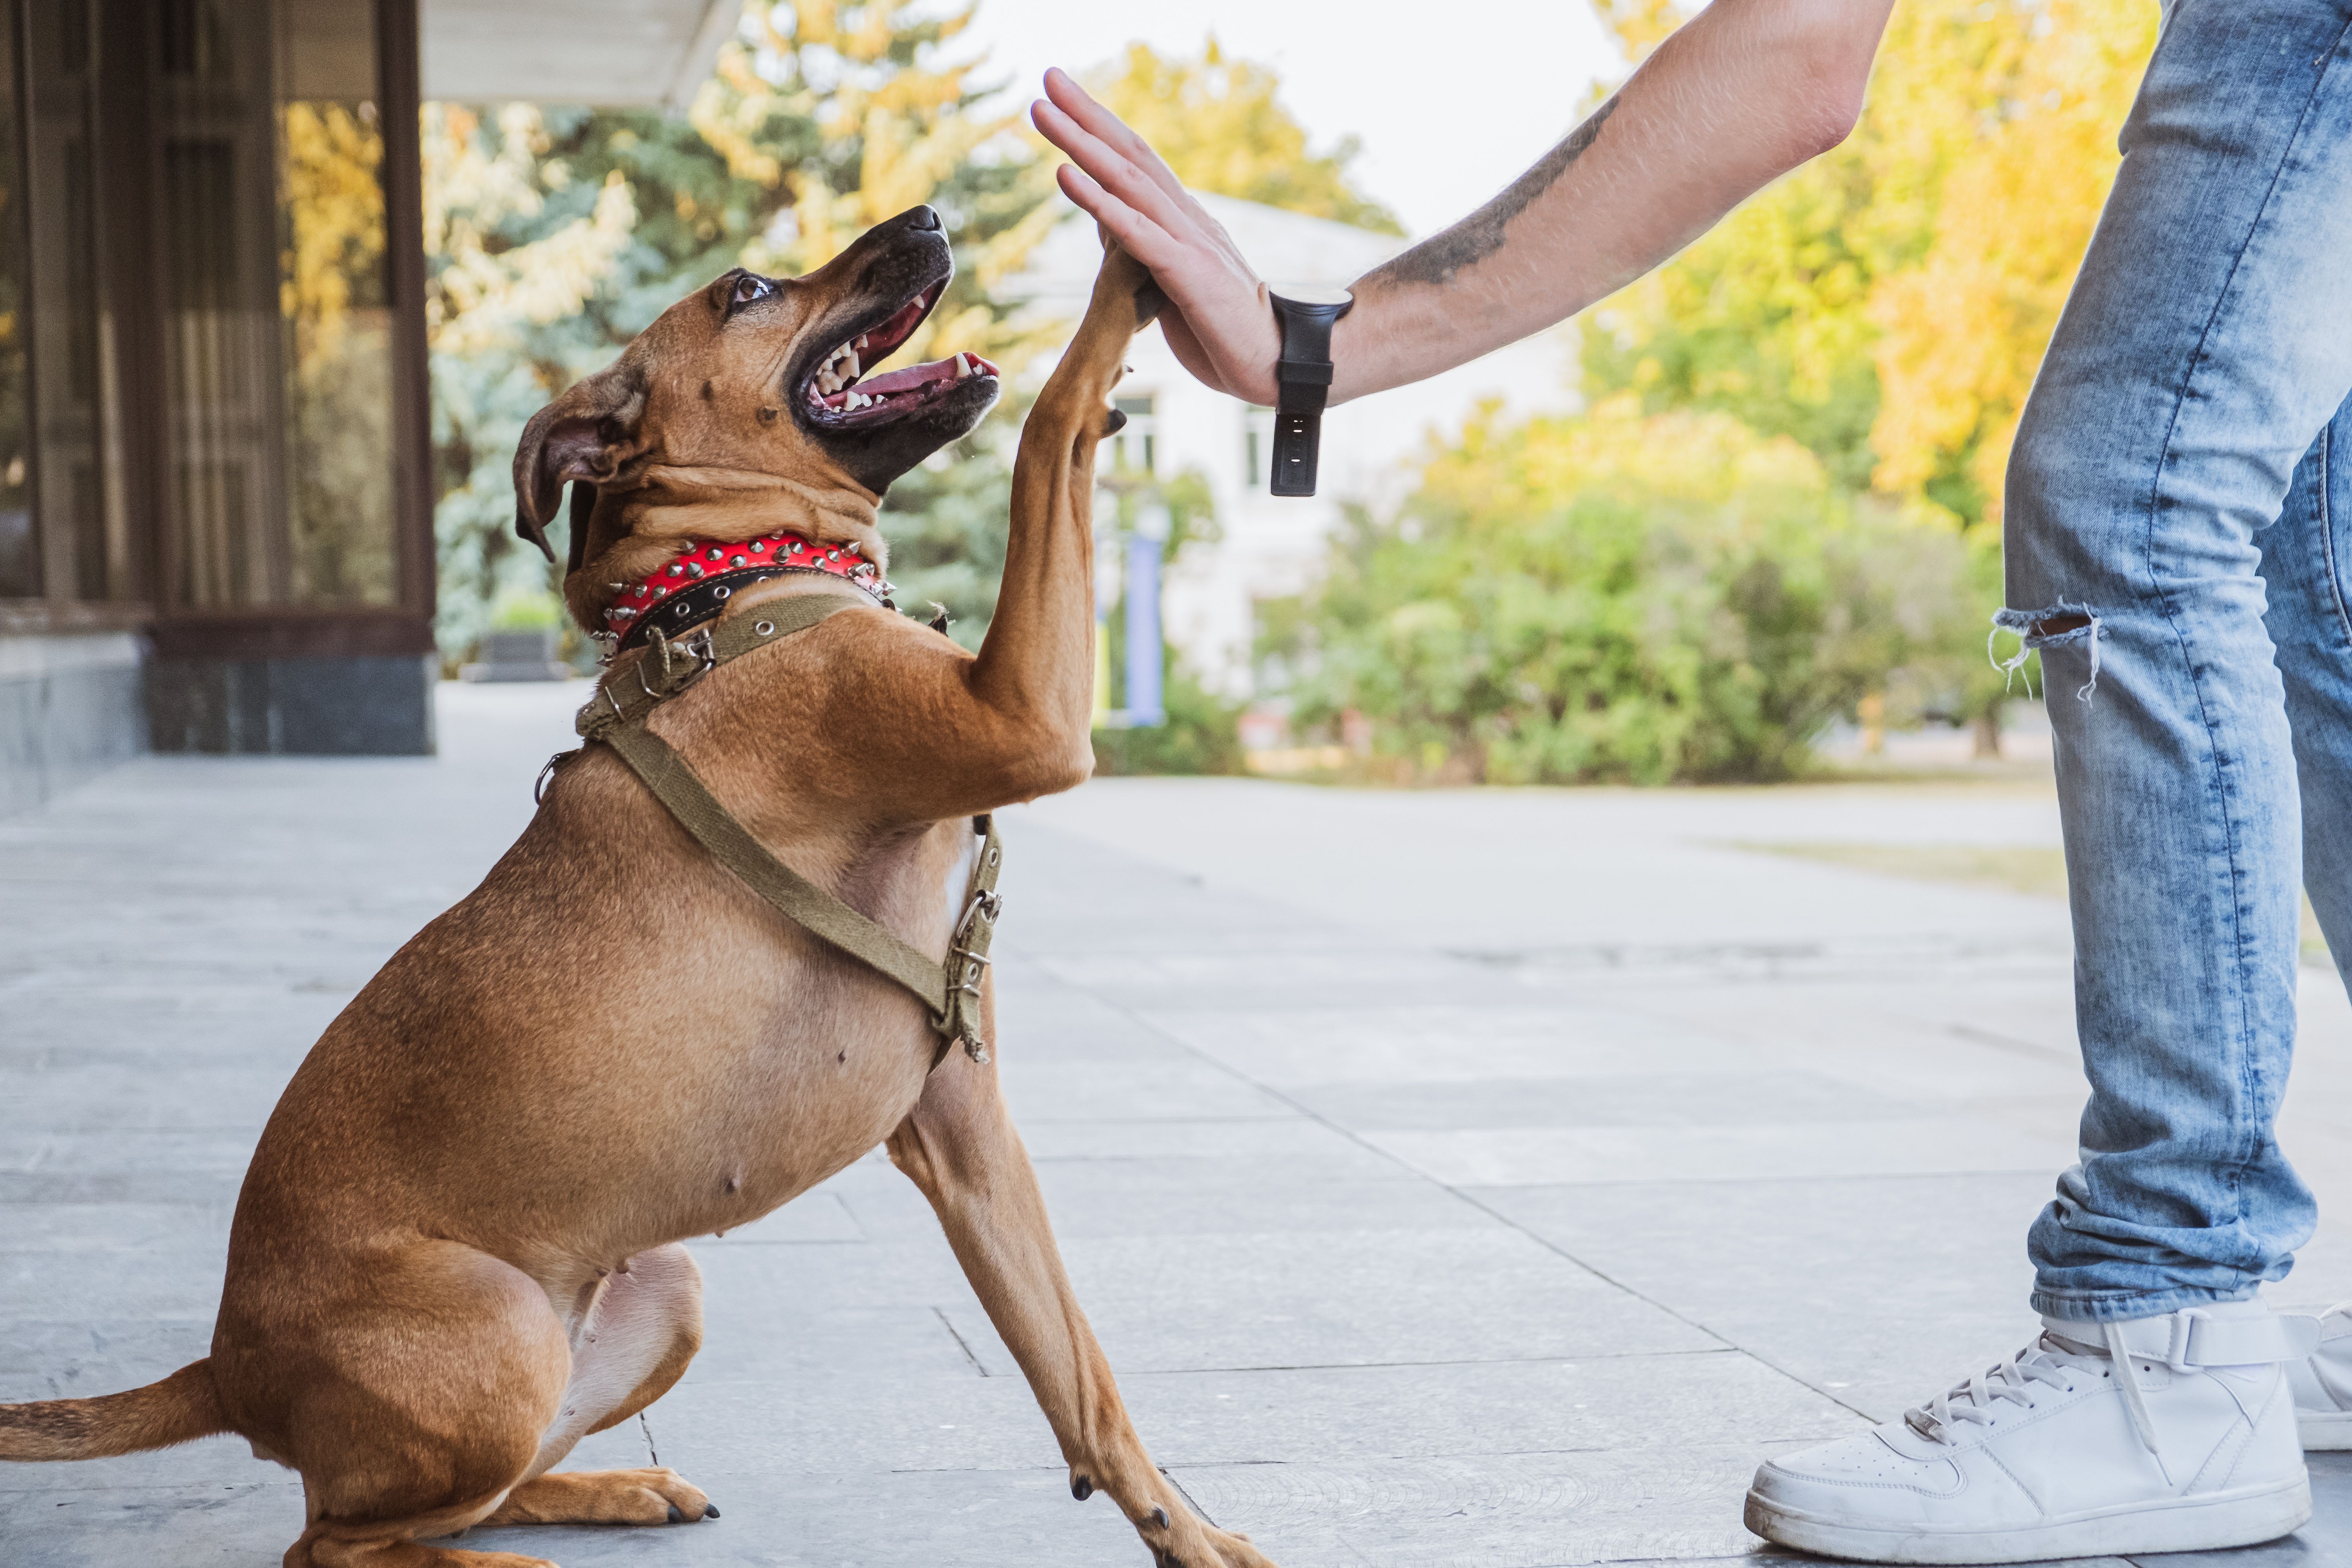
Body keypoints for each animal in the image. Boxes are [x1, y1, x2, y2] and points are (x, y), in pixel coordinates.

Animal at [0, 208, 1279, 1568]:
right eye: (746, 290)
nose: (927, 220)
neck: (731, 583)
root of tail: (227, 1368)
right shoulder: (1024, 718)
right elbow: (1050, 422)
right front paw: (1130, 265)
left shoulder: (966, 1134)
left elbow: (1081, 1377)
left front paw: (1188, 1536)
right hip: (500, 1333)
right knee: (336, 1542)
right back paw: (503, 1560)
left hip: (665, 1291)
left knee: (450, 1495)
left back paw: (614, 1490)